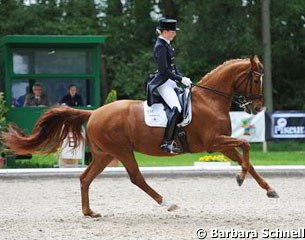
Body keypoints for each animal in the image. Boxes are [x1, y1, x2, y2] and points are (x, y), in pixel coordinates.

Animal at [2, 55, 278, 218]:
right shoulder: (213, 142)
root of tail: (94, 112)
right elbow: (246, 146)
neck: (210, 100)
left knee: (85, 178)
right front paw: (240, 178)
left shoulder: (222, 143)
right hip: (122, 151)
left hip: (105, 154)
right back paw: (167, 202)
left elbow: (247, 160)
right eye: (256, 79)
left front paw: (269, 190)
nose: (257, 108)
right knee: (136, 178)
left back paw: (89, 212)